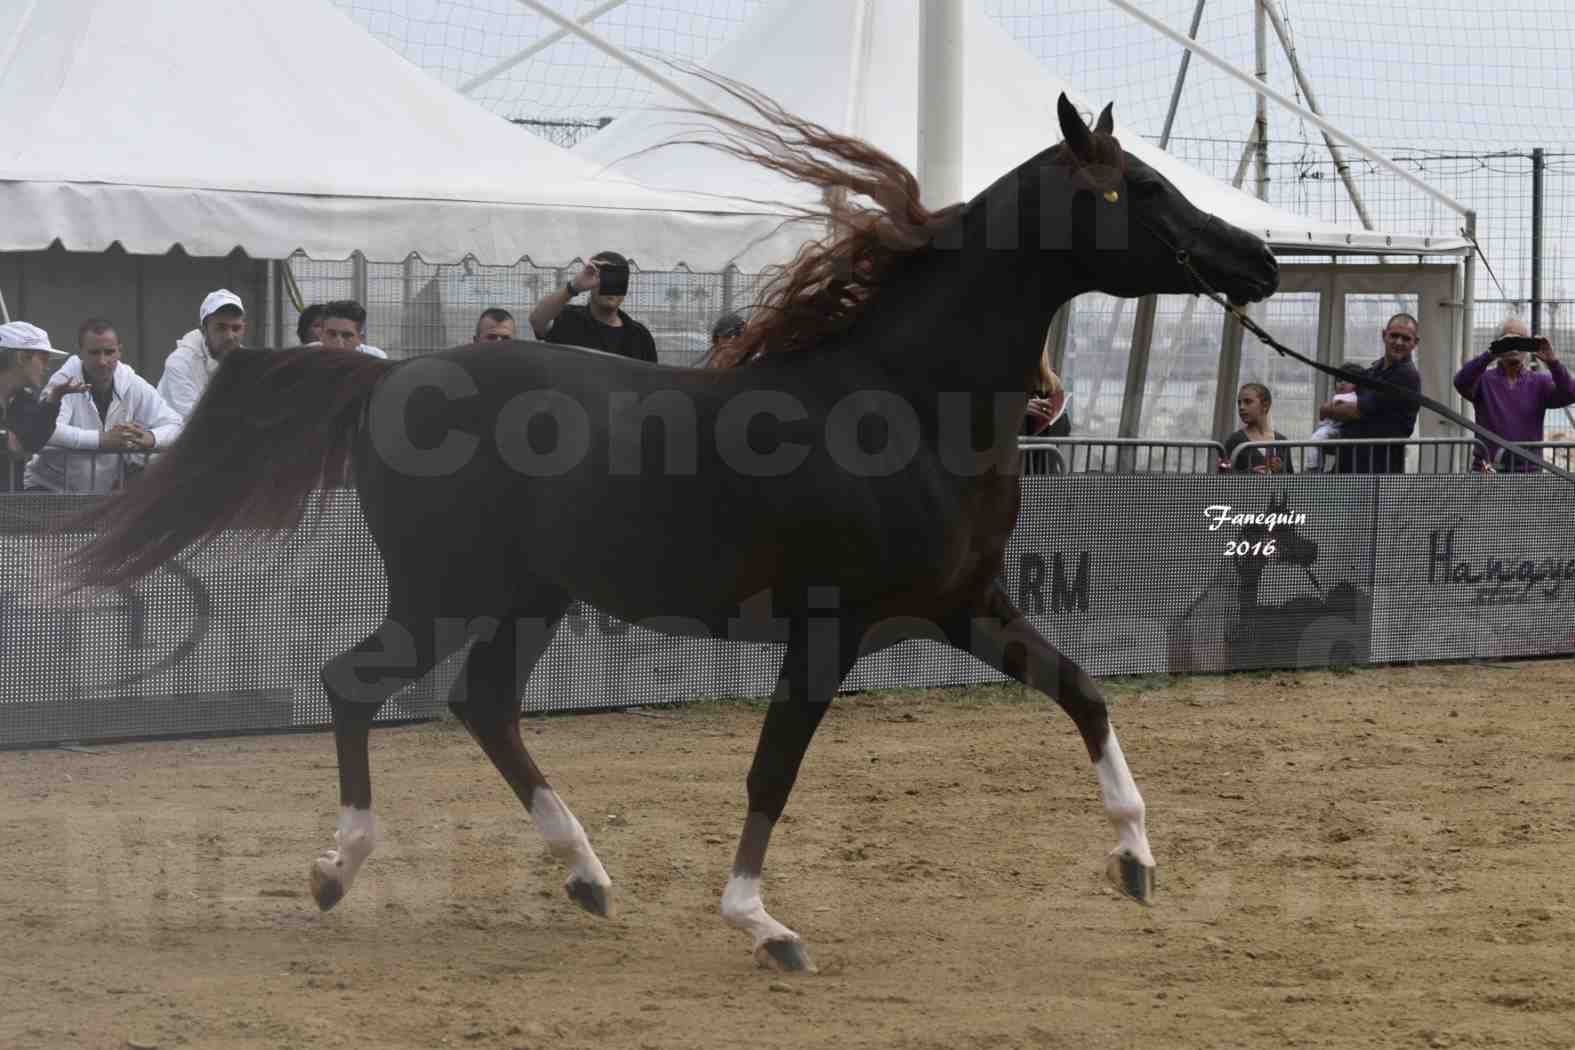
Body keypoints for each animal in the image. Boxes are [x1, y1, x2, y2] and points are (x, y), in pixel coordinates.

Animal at [70, 94, 1278, 976]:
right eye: (1139, 188)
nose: (1259, 260)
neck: (904, 402)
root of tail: (387, 375)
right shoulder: (831, 631)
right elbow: (771, 772)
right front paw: (762, 925)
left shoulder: (964, 606)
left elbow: (1085, 694)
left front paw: (1136, 861)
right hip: (442, 591)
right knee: (355, 682)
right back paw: (339, 867)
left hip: (531, 597)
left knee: (482, 704)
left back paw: (586, 876)